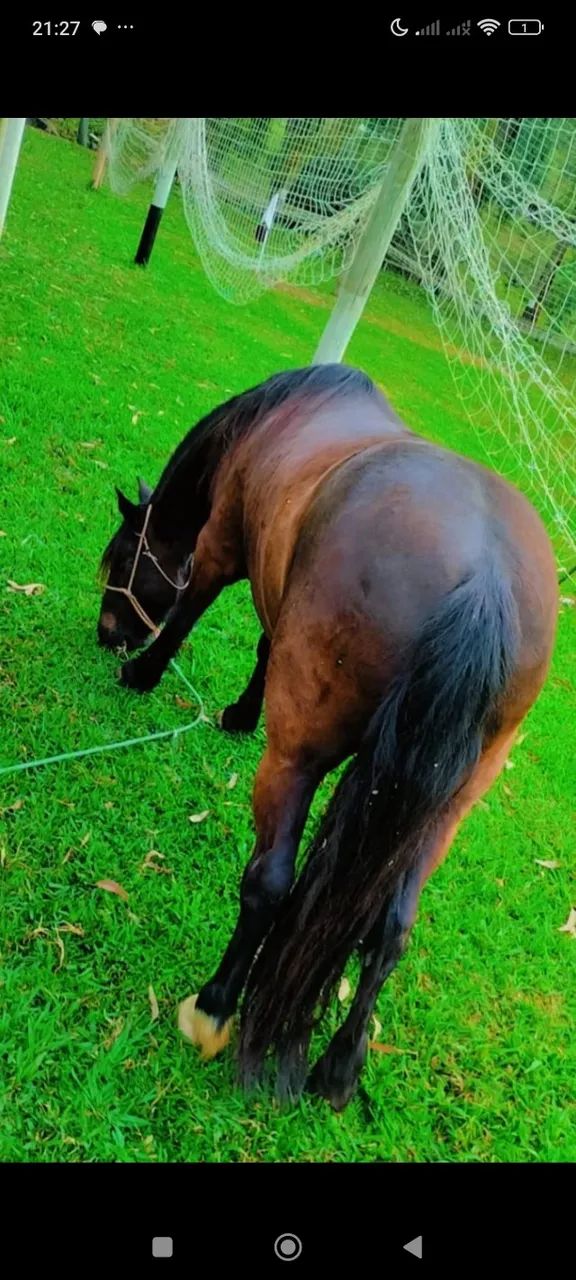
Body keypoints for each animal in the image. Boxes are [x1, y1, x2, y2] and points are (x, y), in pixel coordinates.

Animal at [98, 364, 558, 1110]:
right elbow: (264, 642)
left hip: (297, 758)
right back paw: (340, 1068)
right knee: (392, 929)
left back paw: (214, 1009)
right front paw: (238, 712)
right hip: (442, 810)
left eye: (120, 560)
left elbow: (193, 607)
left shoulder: (222, 543)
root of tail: (482, 582)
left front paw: (146, 673)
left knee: (270, 882)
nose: (108, 635)